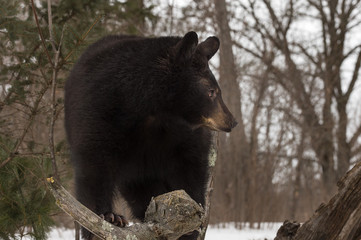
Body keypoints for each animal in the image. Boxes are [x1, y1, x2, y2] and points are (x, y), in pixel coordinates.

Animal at [64, 31, 236, 239]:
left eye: (217, 91)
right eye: (211, 91)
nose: (232, 121)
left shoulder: (186, 138)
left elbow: (190, 173)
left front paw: (190, 224)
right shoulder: (99, 111)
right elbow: (94, 166)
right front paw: (109, 216)